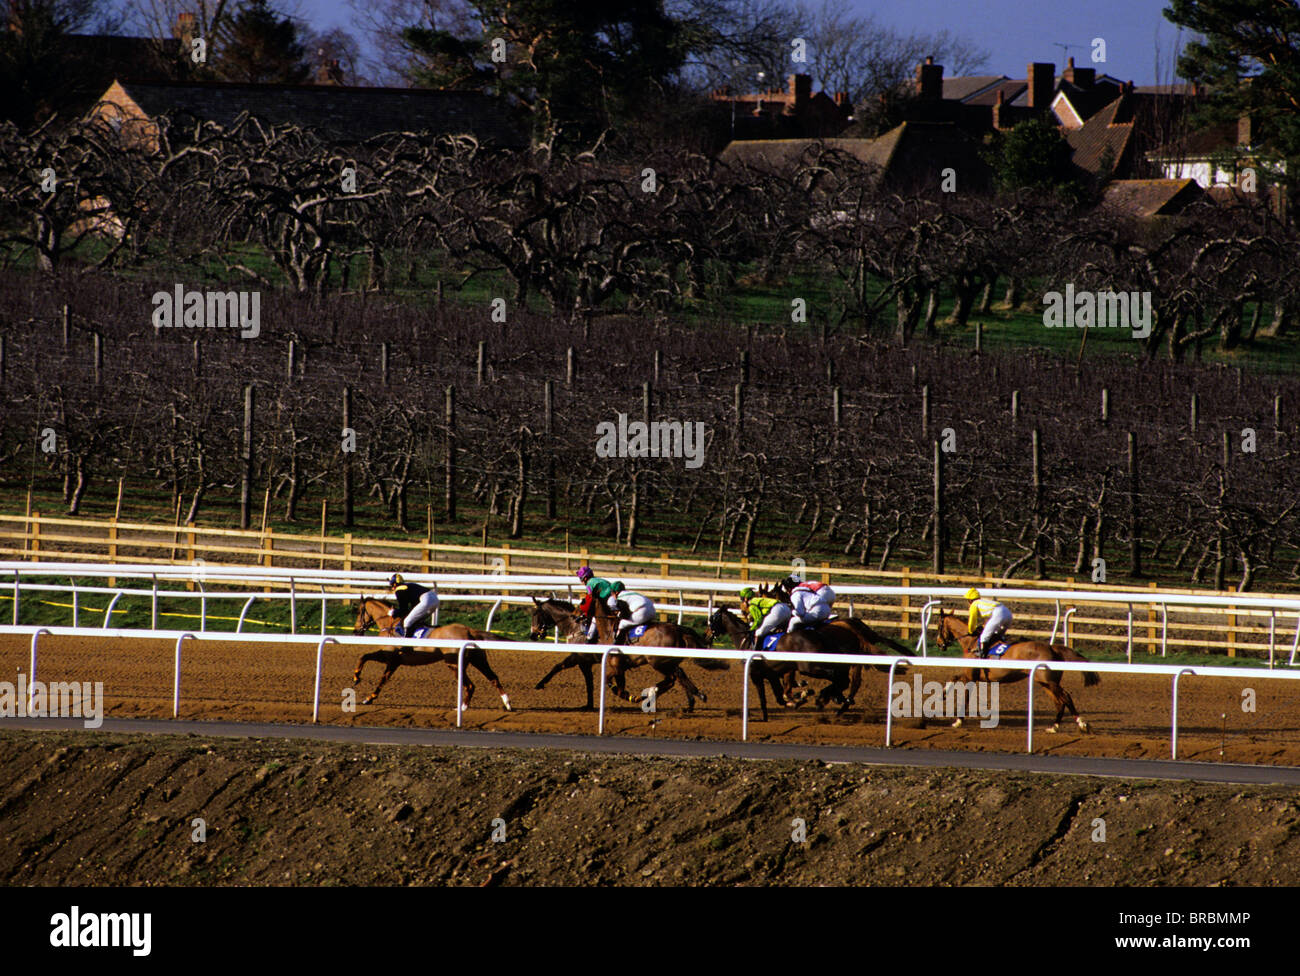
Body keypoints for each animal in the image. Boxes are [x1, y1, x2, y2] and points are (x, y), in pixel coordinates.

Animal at [356, 595, 517, 712]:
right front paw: (363, 688)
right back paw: (508, 704)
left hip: (455, 664)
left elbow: (377, 673)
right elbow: (370, 663)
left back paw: (462, 708)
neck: (390, 625)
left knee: (470, 686)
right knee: (494, 678)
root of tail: (469, 630)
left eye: (360, 611)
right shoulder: (392, 660)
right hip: (479, 660)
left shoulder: (391, 658)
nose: (356, 631)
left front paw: (363, 688)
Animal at [935, 610, 1097, 732]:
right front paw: (942, 694)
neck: (972, 643)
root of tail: (1052, 648)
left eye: (938, 626)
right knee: (1059, 702)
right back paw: (1054, 726)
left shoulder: (971, 676)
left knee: (1066, 697)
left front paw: (958, 721)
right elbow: (954, 676)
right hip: (1045, 682)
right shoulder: (973, 676)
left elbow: (966, 696)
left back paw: (1082, 723)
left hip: (1049, 681)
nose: (939, 644)